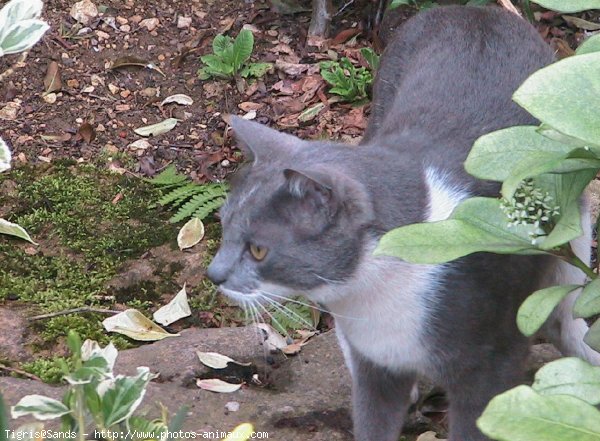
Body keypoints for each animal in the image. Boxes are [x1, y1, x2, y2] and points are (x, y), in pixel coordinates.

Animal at [207, 4, 600, 440]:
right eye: (224, 228)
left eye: (258, 250)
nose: (214, 274)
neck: (370, 300)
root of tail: (471, 10)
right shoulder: (373, 366)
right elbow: (371, 418)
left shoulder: (493, 364)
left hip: (570, 215)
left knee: (569, 316)